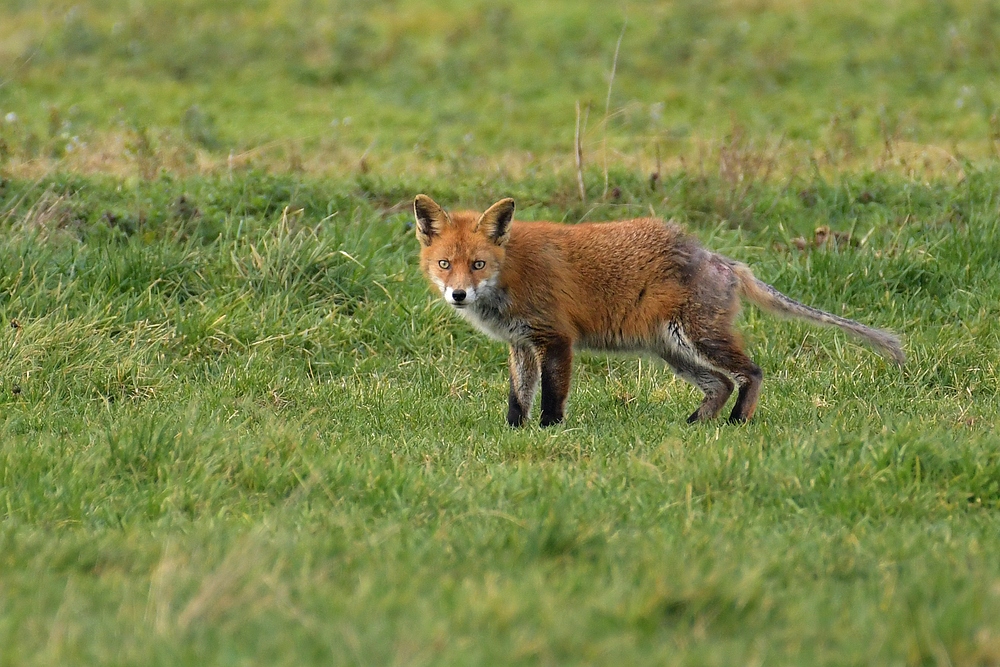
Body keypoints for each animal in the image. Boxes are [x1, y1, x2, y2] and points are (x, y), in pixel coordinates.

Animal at [414, 193, 908, 428]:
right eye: (445, 264)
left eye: (478, 264)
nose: (458, 295)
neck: (510, 273)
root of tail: (719, 258)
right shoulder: (521, 345)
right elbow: (518, 399)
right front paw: (515, 433)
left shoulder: (556, 338)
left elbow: (552, 398)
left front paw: (550, 432)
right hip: (672, 350)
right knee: (721, 384)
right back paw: (696, 425)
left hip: (697, 338)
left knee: (752, 373)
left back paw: (737, 423)